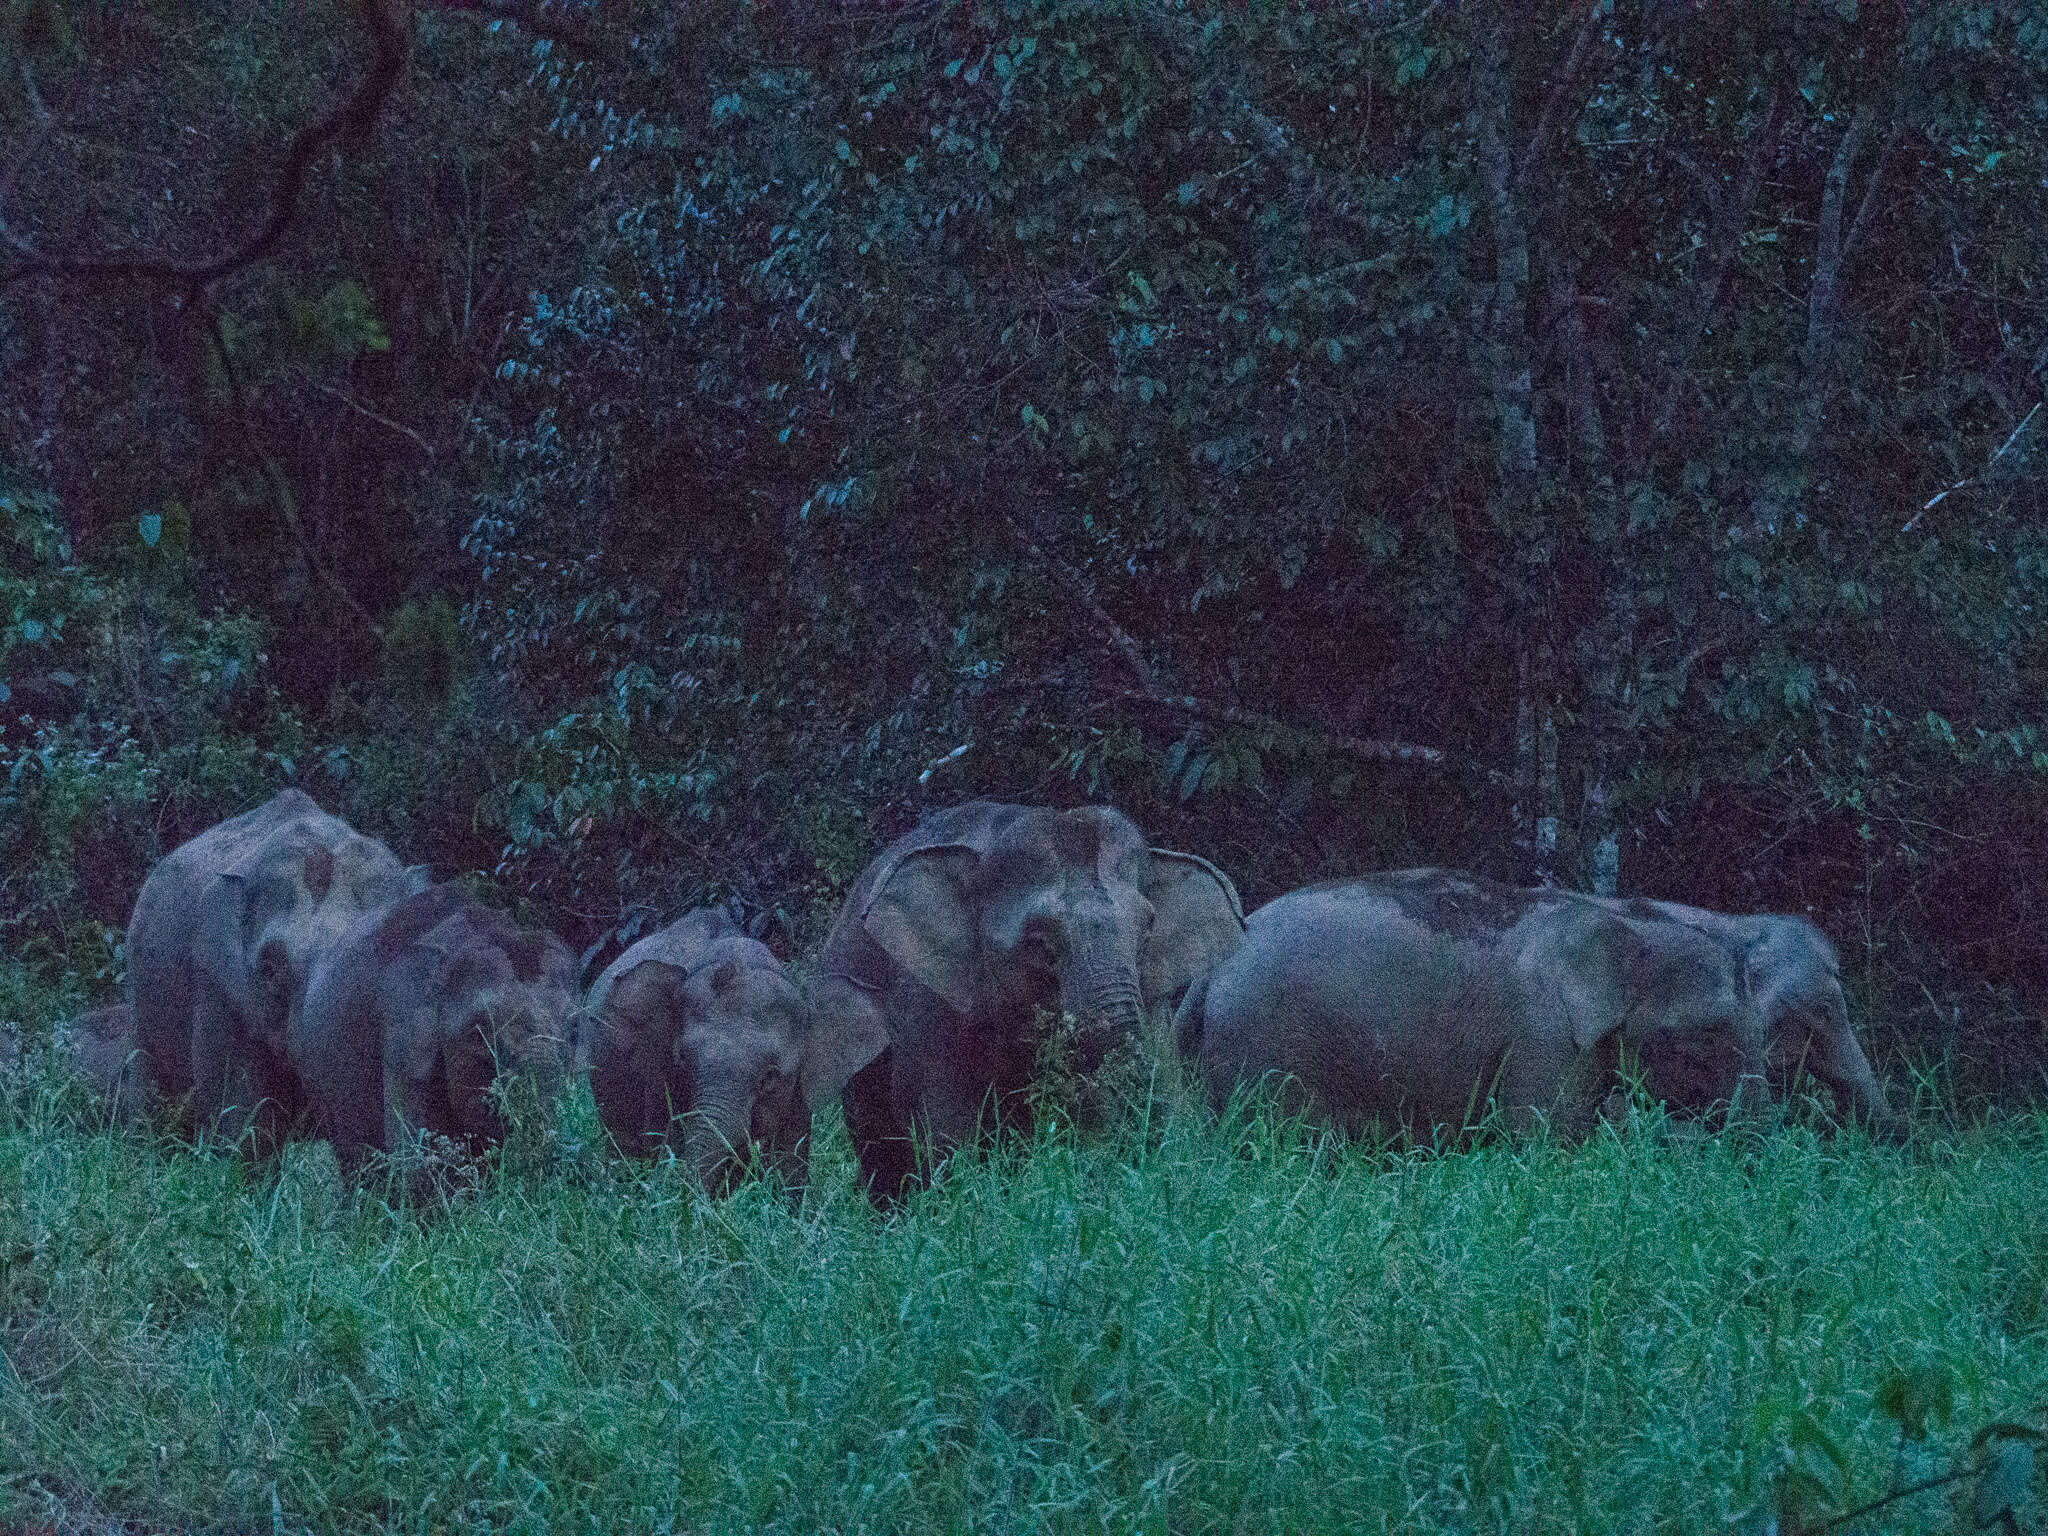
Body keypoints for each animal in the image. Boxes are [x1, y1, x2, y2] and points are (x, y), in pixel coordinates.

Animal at [1179, 872, 1769, 1146]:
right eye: (1705, 1037)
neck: (1620, 919)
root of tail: (1213, 969)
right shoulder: (1543, 1032)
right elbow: (1546, 1136)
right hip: (1267, 1048)